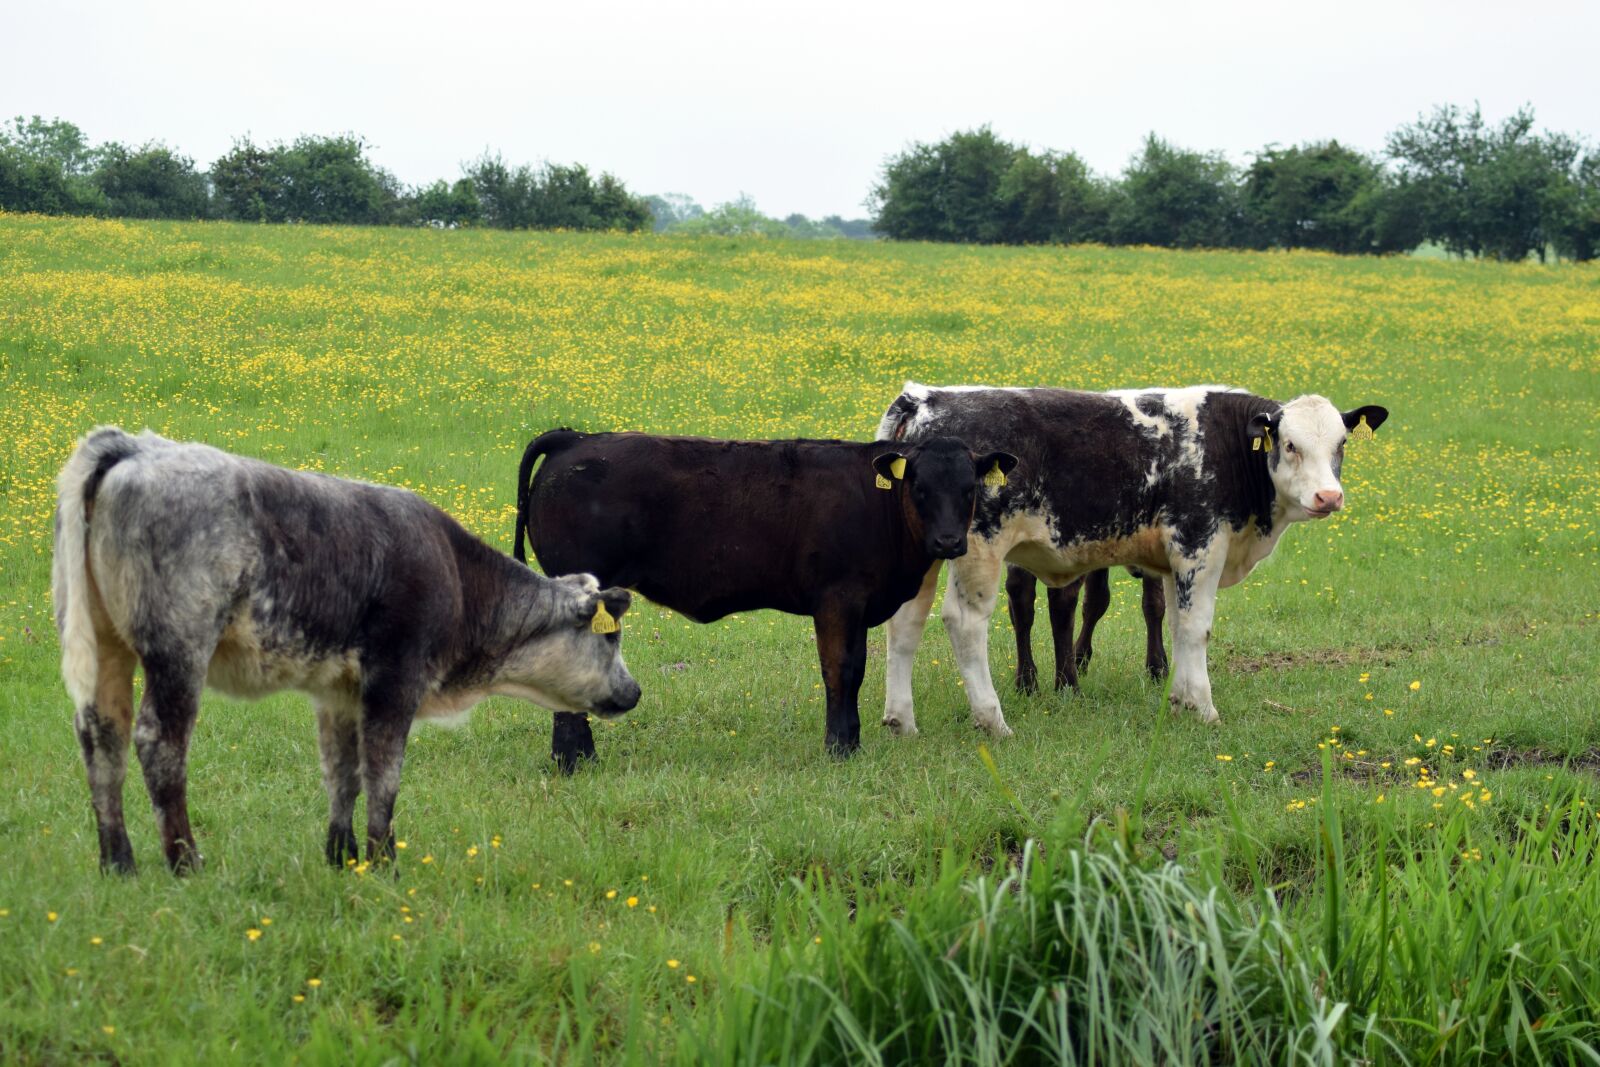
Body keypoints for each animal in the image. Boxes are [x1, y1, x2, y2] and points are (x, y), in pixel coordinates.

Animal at [54, 427, 640, 874]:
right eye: (610, 636)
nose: (633, 691)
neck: (456, 573)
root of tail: (135, 447)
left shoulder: (338, 690)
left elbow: (344, 773)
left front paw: (342, 858)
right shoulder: (396, 679)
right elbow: (383, 775)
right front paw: (384, 864)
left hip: (103, 645)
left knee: (101, 735)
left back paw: (119, 863)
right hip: (178, 650)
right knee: (159, 743)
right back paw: (184, 862)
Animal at [512, 429, 1017, 769]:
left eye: (969, 489)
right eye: (920, 488)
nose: (949, 541)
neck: (880, 507)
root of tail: (577, 438)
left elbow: (852, 673)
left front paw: (849, 743)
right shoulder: (838, 598)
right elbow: (841, 670)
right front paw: (840, 748)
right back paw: (574, 761)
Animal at [1006, 566, 1167, 694]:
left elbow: (1097, 599)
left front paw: (1079, 659)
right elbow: (1155, 602)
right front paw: (1158, 668)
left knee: (1019, 589)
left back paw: (1026, 684)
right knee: (1062, 596)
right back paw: (1068, 686)